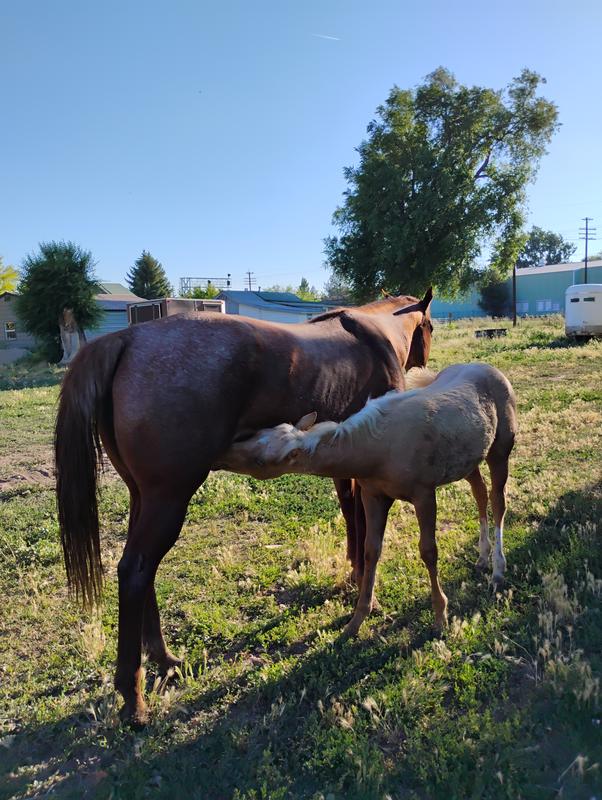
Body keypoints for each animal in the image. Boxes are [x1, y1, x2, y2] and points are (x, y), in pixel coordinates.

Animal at [55, 289, 433, 724]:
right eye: (429, 326)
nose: (425, 358)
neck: (373, 335)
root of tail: (129, 339)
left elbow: (349, 512)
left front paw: (353, 573)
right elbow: (365, 523)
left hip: (143, 497)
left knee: (140, 571)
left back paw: (165, 660)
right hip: (168, 499)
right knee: (135, 571)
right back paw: (134, 699)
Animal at [217, 362, 517, 637]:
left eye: (260, 460)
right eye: (257, 434)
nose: (224, 452)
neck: (378, 449)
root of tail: (491, 370)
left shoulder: (423, 494)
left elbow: (428, 551)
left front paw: (440, 617)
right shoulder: (373, 496)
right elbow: (371, 550)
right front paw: (356, 620)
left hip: (500, 451)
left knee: (498, 501)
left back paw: (498, 570)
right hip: (469, 460)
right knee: (480, 493)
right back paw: (482, 557)